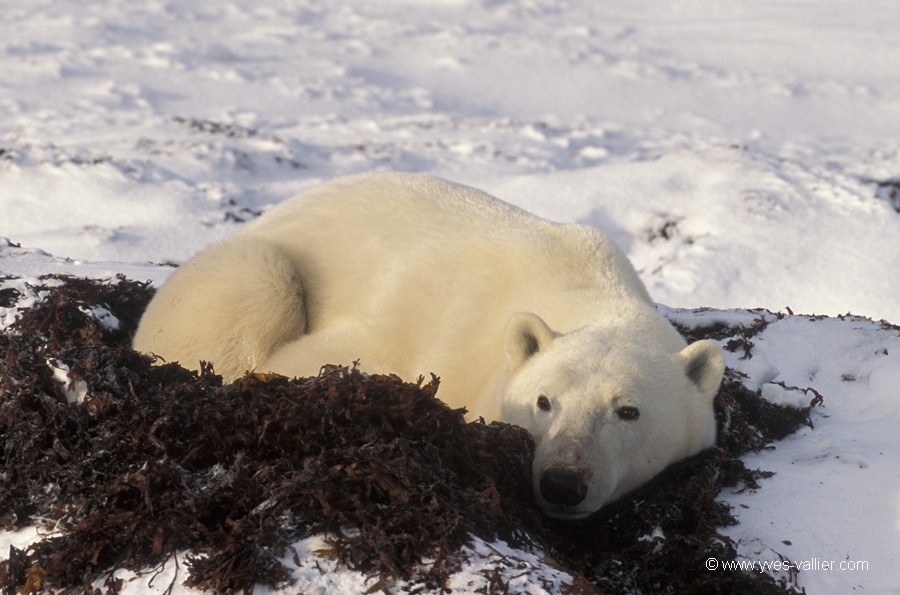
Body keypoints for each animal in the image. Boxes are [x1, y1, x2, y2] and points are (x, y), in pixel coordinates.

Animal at [134, 170, 724, 520]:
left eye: (627, 410)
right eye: (544, 401)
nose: (562, 482)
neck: (580, 286)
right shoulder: (435, 326)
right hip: (241, 270)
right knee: (255, 282)